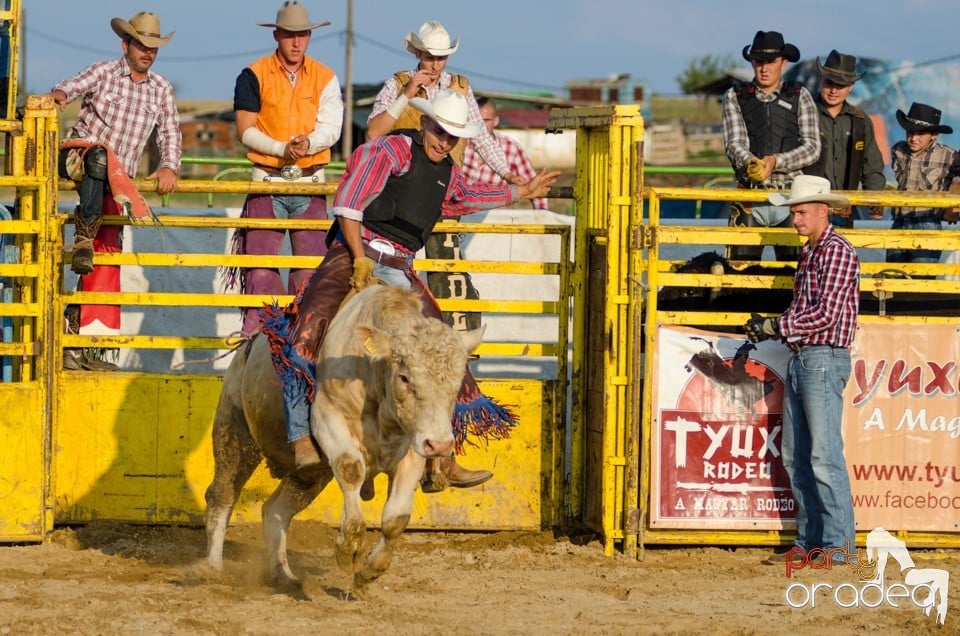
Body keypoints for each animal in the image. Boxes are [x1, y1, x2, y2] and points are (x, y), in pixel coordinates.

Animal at [205, 284, 484, 596]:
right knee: (222, 495)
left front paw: (369, 572)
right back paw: (214, 570)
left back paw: (284, 576)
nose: (441, 445)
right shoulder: (331, 421)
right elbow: (352, 470)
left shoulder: (413, 446)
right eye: (404, 377)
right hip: (234, 433)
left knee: (275, 511)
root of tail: (247, 346)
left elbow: (396, 519)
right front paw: (348, 549)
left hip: (310, 475)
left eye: (458, 381)